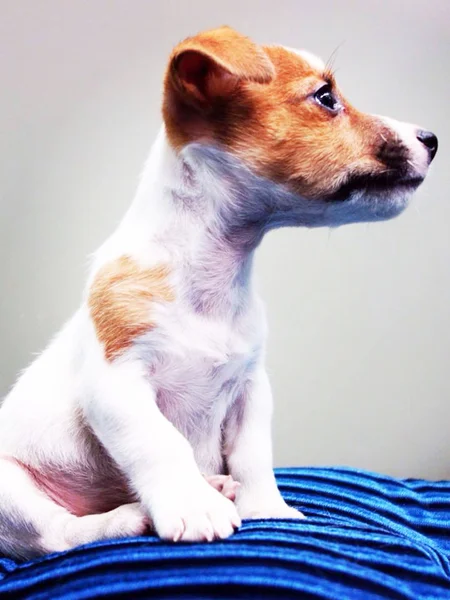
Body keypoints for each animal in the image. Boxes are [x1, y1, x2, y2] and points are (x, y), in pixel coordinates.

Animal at [0, 25, 436, 560]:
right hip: (15, 495)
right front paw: (193, 508)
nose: (432, 139)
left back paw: (216, 485)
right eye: (326, 97)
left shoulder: (251, 387)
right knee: (59, 536)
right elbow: (161, 443)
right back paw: (129, 517)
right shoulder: (115, 385)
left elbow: (253, 455)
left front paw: (266, 508)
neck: (211, 276)